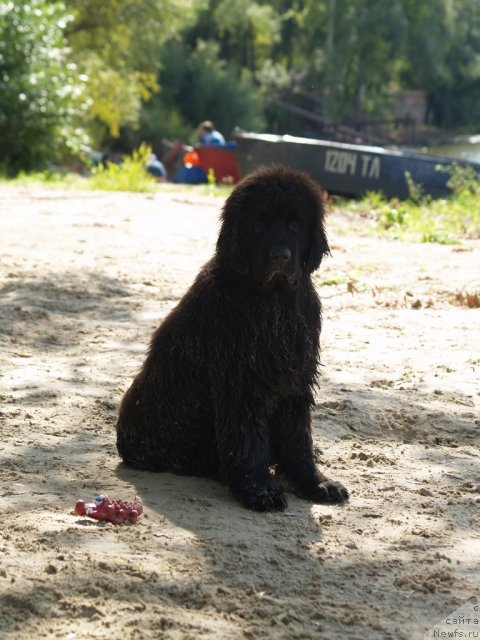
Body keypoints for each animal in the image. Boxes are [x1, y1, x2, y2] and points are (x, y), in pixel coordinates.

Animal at [117, 165, 348, 510]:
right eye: (258, 225)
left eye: (295, 225)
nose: (280, 256)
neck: (272, 302)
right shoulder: (241, 384)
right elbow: (248, 442)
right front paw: (259, 490)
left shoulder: (295, 380)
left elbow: (297, 439)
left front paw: (315, 482)